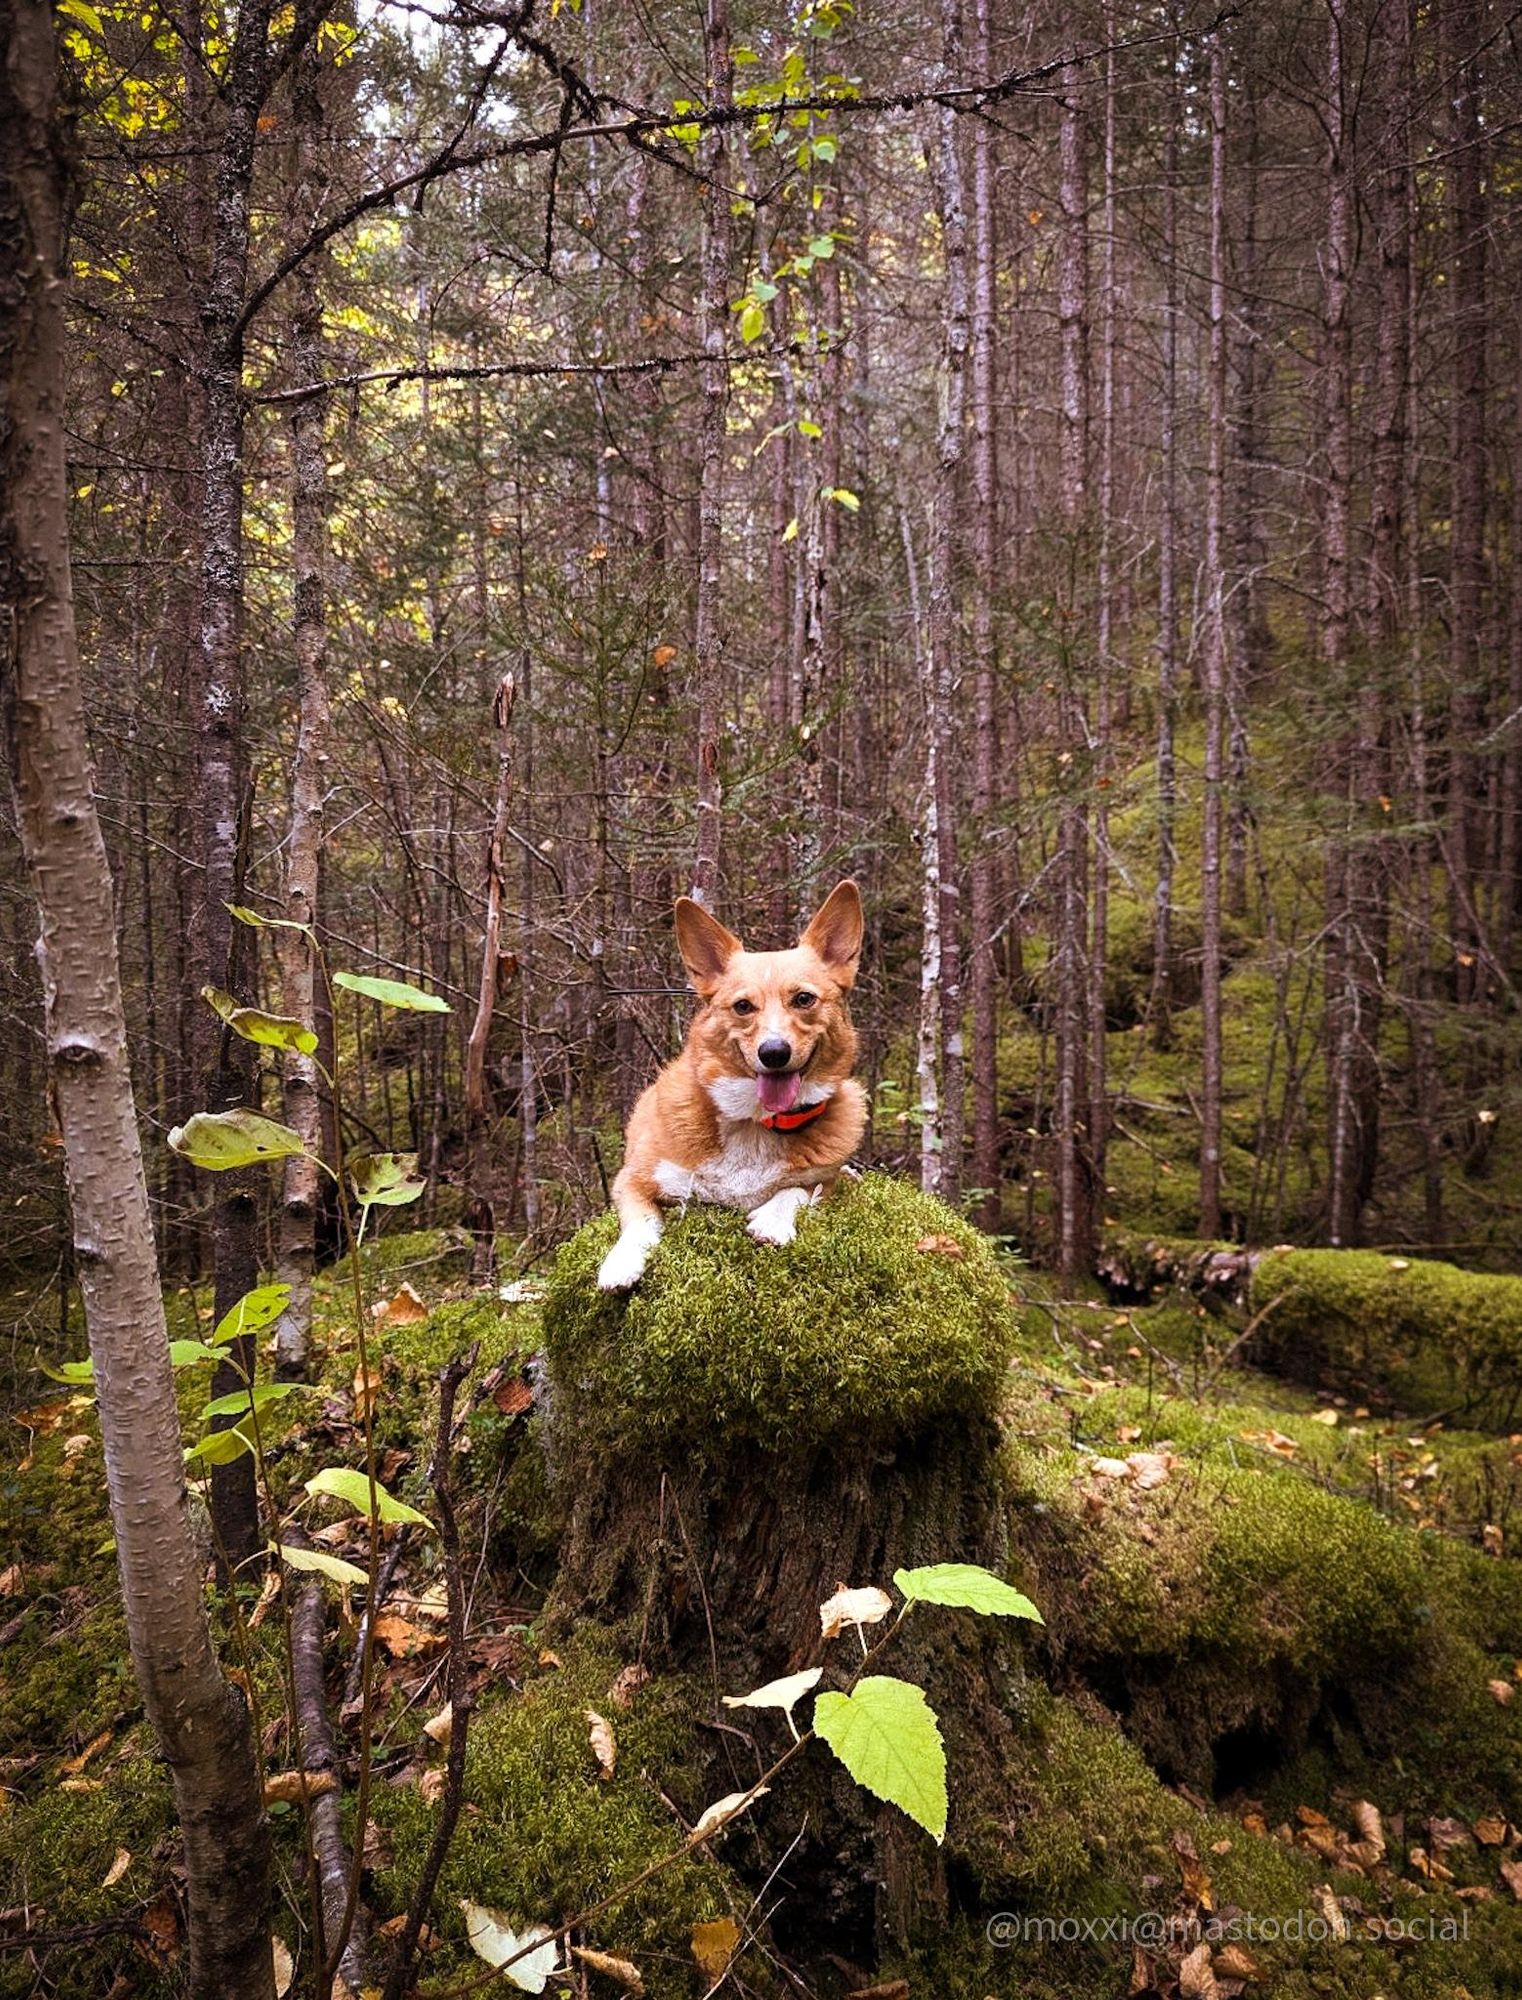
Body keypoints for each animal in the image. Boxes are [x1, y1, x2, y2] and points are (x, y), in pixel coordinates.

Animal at [600, 880, 872, 1288]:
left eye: (804, 999)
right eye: (743, 1006)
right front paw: (621, 1262)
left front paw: (772, 1221)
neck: (753, 1122)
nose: (774, 1052)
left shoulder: (822, 1184)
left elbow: (795, 1189)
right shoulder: (634, 1180)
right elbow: (640, 1221)